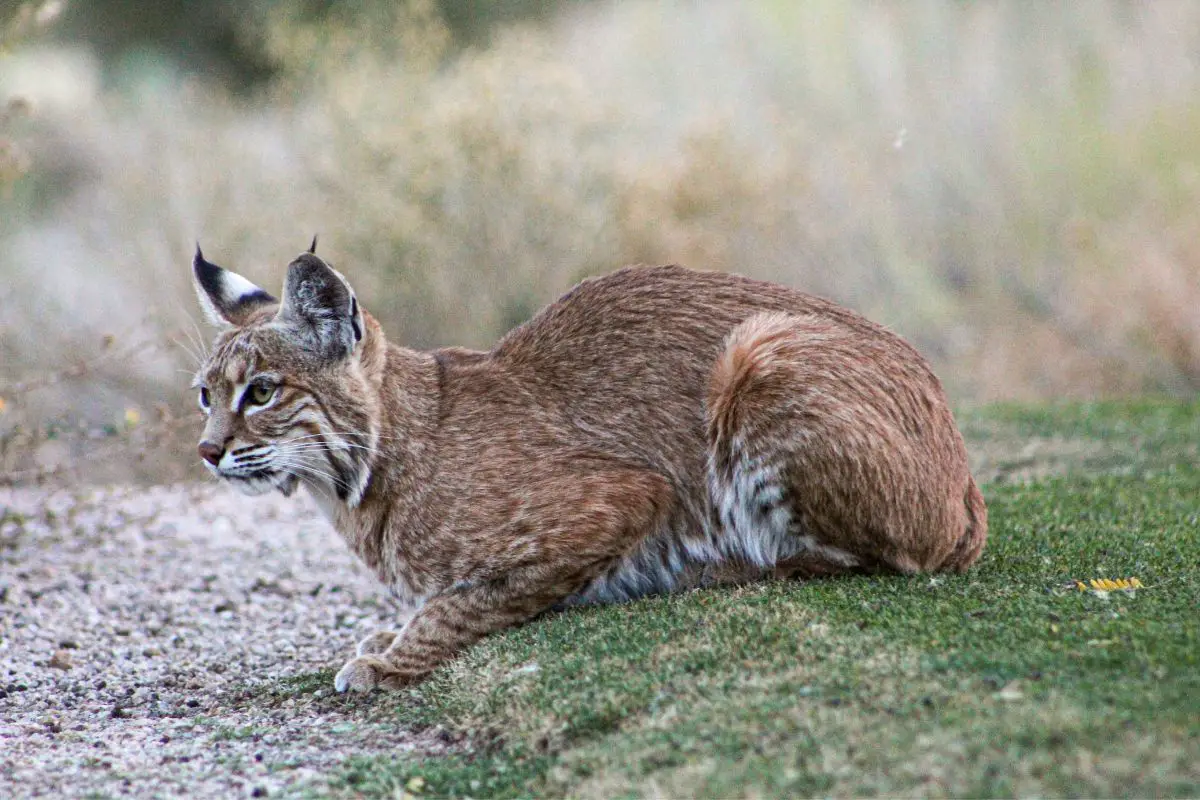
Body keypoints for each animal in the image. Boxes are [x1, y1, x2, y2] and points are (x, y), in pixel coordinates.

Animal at [192, 244, 988, 695]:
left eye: (260, 392)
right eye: (205, 394)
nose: (207, 451)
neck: (362, 477)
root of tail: (966, 473)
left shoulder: (622, 496)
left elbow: (466, 599)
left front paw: (389, 661)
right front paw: (386, 641)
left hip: (759, 350)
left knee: (895, 555)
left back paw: (724, 566)